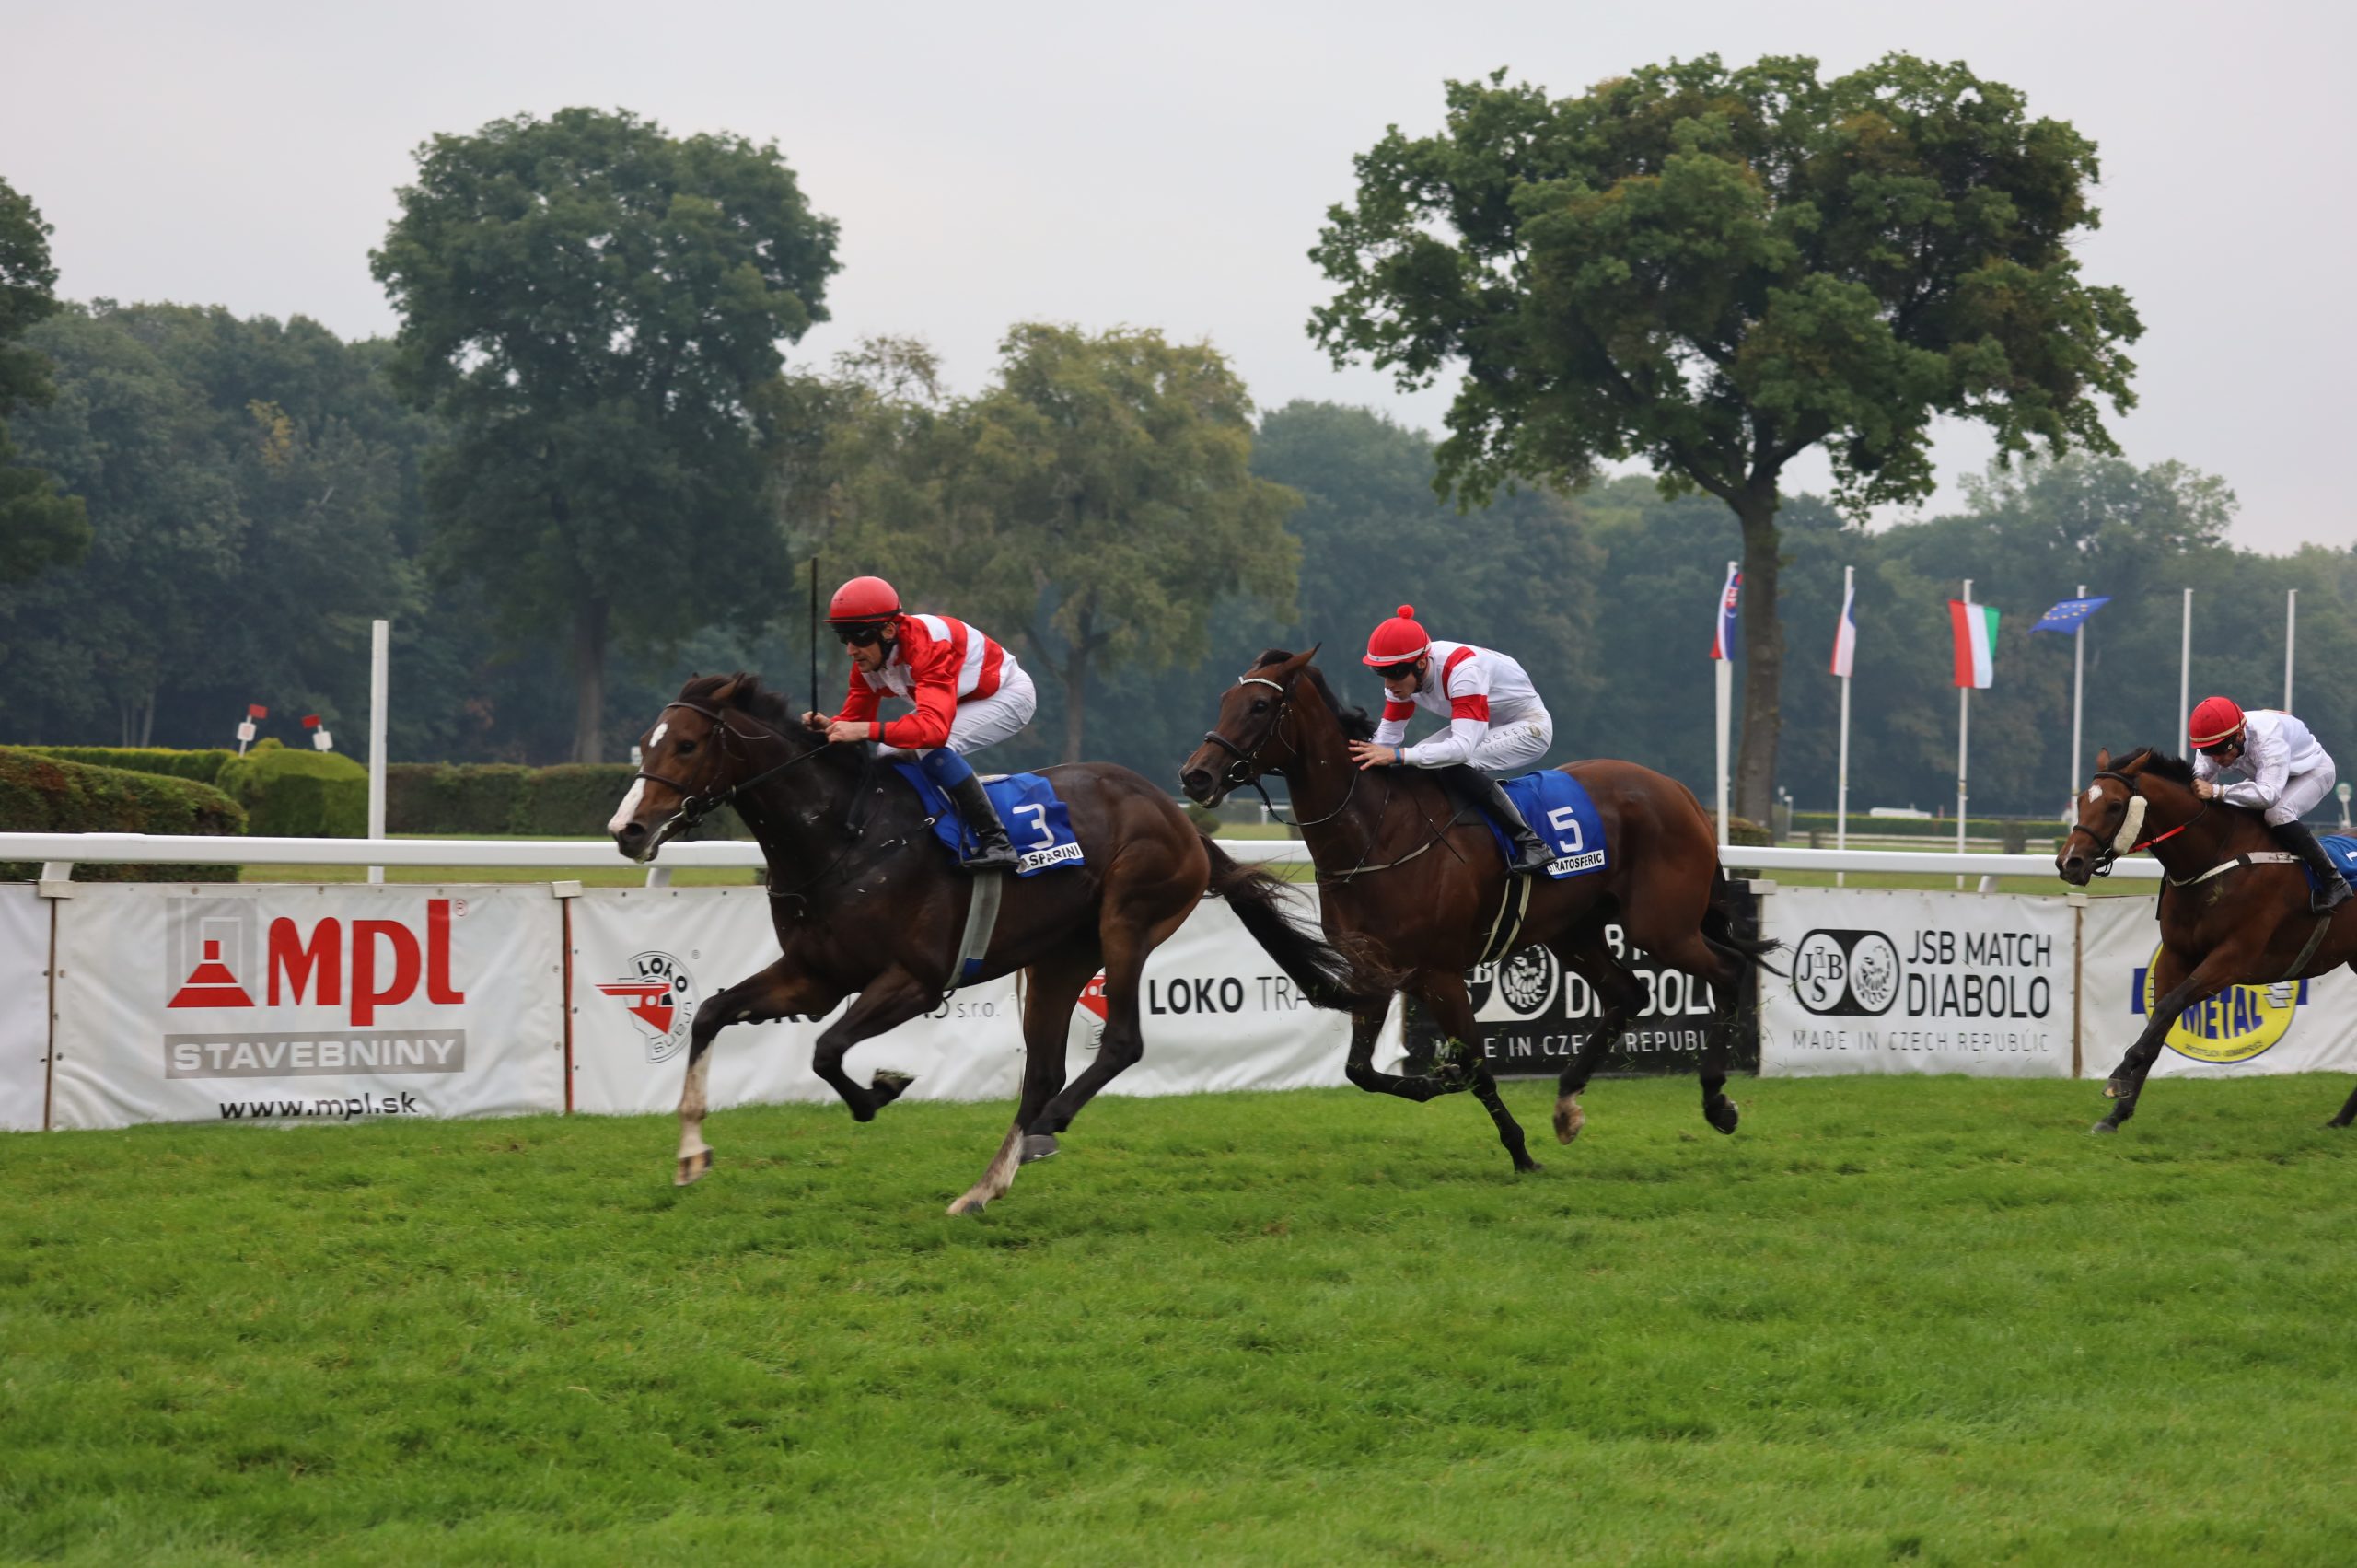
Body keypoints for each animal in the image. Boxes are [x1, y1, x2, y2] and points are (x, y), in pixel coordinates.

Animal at [608, 674, 1376, 1207]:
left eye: (686, 744)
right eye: (644, 744)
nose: (628, 831)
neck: (845, 836)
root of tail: (1179, 815)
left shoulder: (916, 979)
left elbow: (827, 1051)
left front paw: (881, 1088)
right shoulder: (813, 975)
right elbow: (711, 1013)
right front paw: (690, 1152)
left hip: (1127, 922)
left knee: (1119, 1043)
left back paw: (1041, 1134)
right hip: (1060, 957)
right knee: (1043, 1070)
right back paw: (985, 1185)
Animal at [1178, 641, 1782, 1169]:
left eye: (1260, 706)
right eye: (1224, 701)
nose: (1195, 775)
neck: (1376, 834)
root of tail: (1681, 793)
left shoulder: (1439, 974)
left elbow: (1473, 1064)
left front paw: (1518, 1151)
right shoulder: (1375, 970)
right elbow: (1360, 1071)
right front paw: (1437, 1083)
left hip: (1661, 925)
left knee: (1727, 969)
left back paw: (1717, 1101)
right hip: (1574, 931)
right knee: (1629, 993)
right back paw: (1567, 1102)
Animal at [2064, 745, 2357, 1127]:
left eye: (2114, 805)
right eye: (2082, 799)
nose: (2069, 862)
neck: (2215, 859)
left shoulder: (2231, 959)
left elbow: (2168, 1008)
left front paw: (2119, 1075)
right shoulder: (2176, 954)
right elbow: (2159, 1021)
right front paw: (2117, 1113)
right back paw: (2340, 1119)